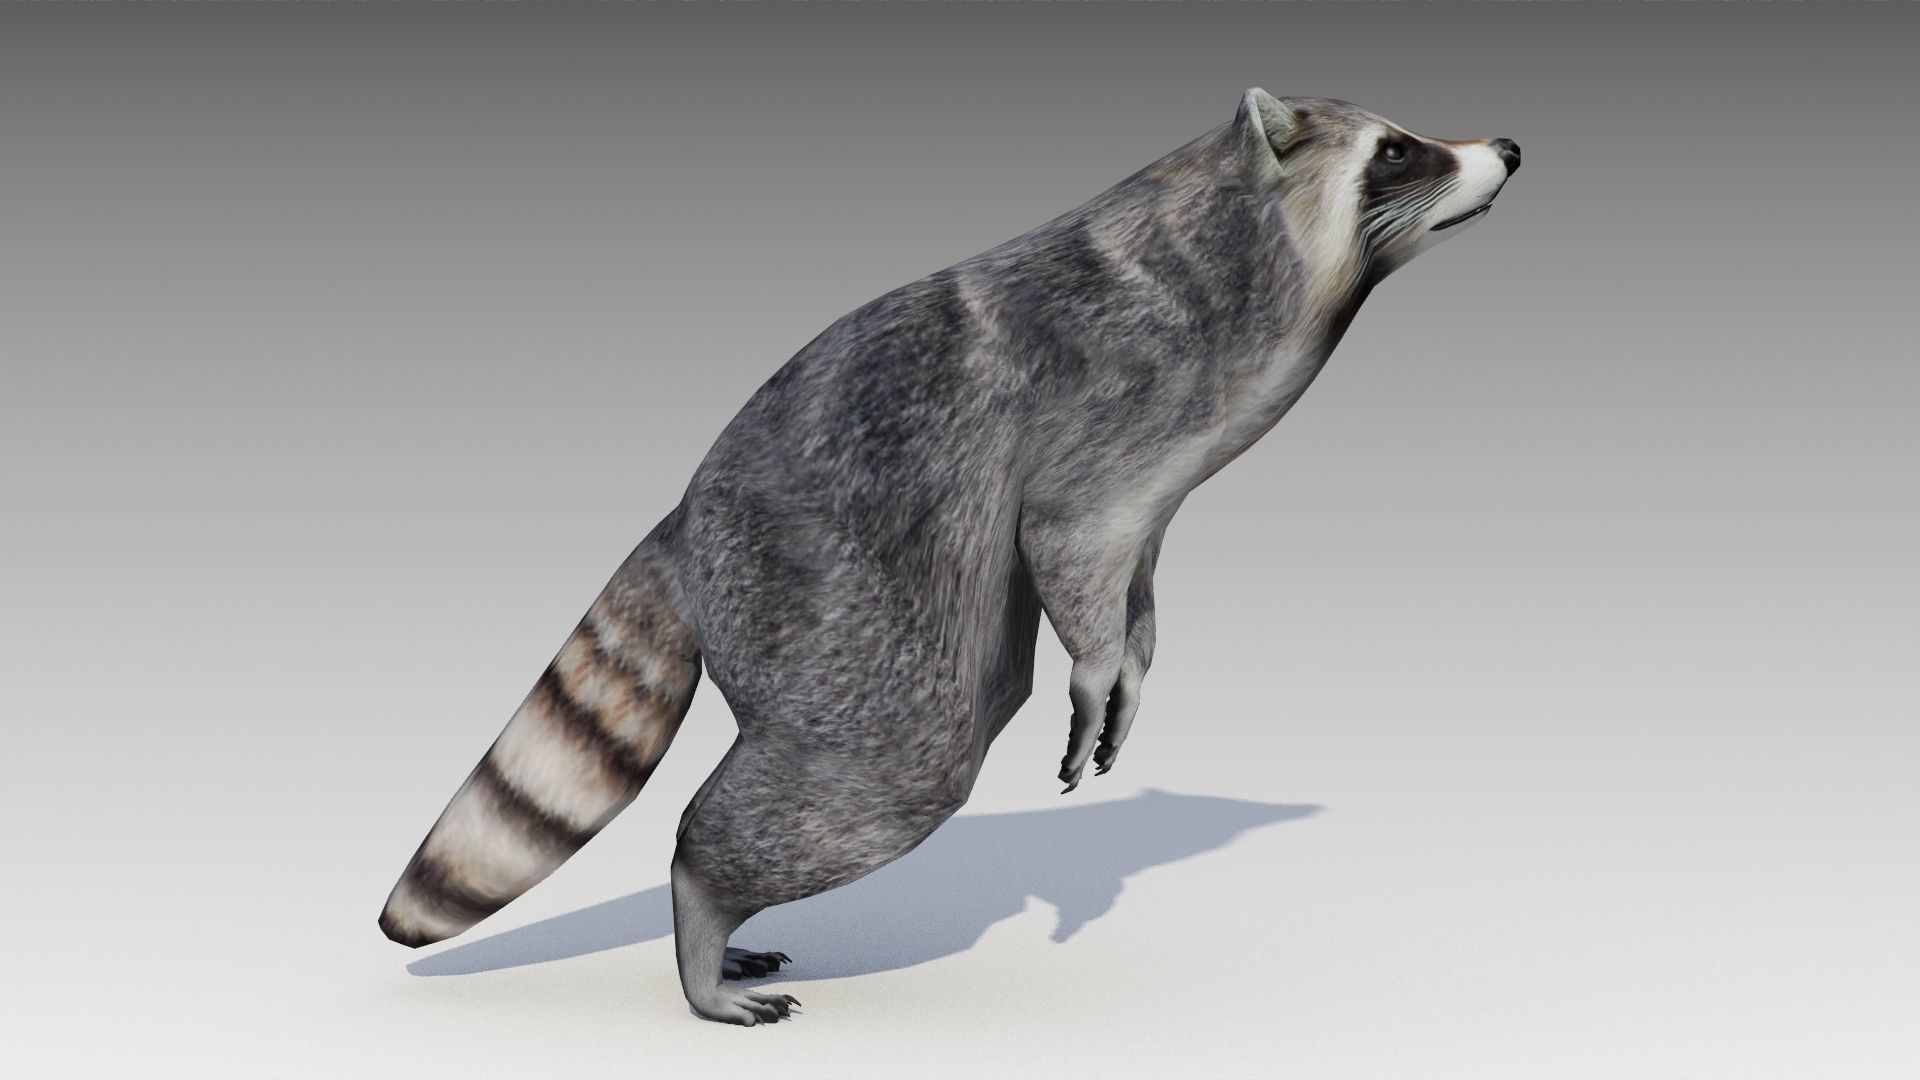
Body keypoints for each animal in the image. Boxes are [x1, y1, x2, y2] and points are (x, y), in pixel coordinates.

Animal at [379, 89, 1521, 1025]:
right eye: (1398, 149)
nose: (1506, 145)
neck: (1248, 240)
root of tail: (686, 515)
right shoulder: (1118, 400)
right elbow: (1068, 534)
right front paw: (1098, 665)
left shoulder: (1157, 493)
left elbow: (1134, 584)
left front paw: (1134, 663)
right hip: (826, 575)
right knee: (891, 758)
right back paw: (702, 906)